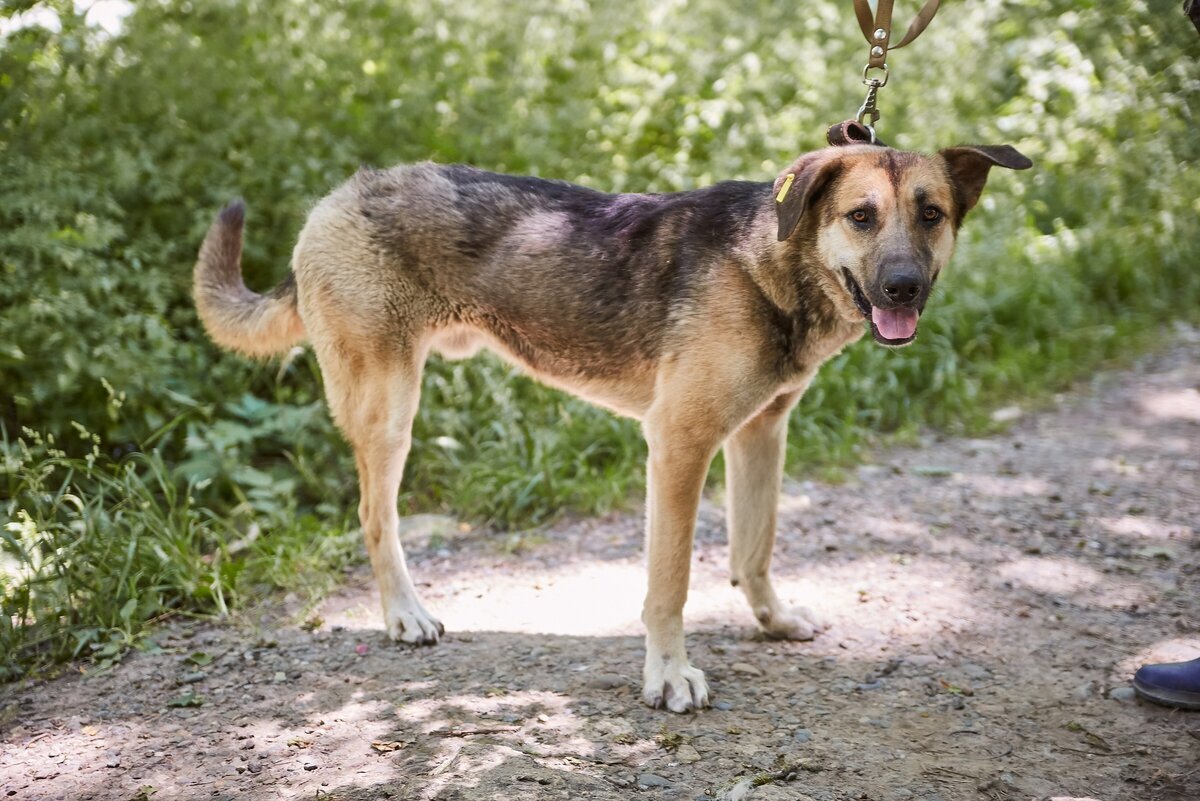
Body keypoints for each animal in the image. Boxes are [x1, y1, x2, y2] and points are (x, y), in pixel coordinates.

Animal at [196, 140, 1032, 709]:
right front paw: (667, 675)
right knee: (376, 517)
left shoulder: (760, 434)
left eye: (931, 214)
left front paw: (772, 620)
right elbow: (672, 582)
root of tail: (335, 197)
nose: (905, 287)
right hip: (389, 407)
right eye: (861, 217)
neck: (773, 263)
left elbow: (754, 548)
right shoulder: (679, 445)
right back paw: (405, 614)